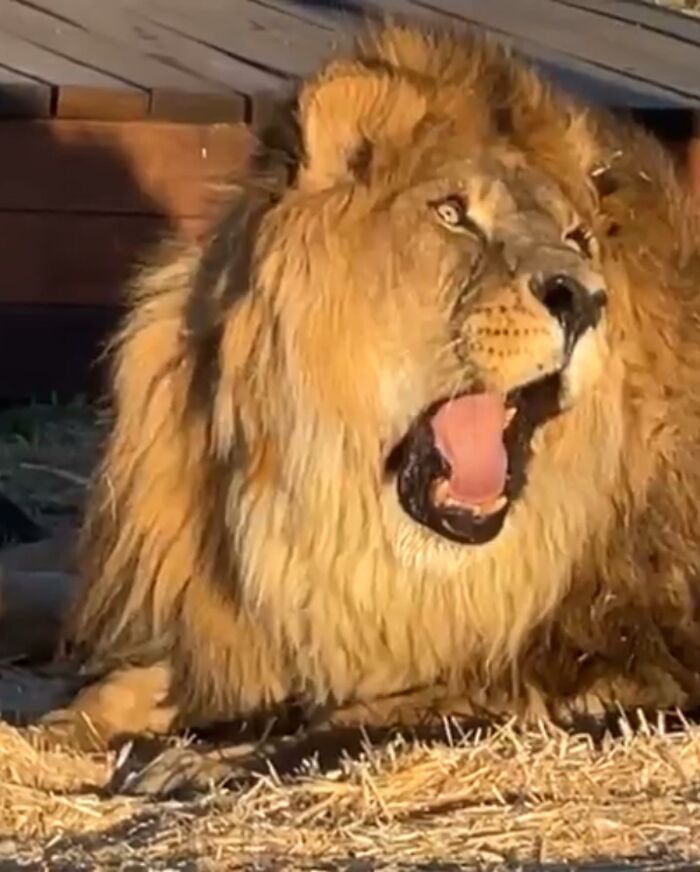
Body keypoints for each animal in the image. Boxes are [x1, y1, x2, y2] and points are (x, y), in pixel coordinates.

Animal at [31, 20, 700, 769]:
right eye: (451, 213)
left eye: (576, 238)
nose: (584, 298)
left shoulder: (615, 656)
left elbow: (388, 711)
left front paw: (191, 762)